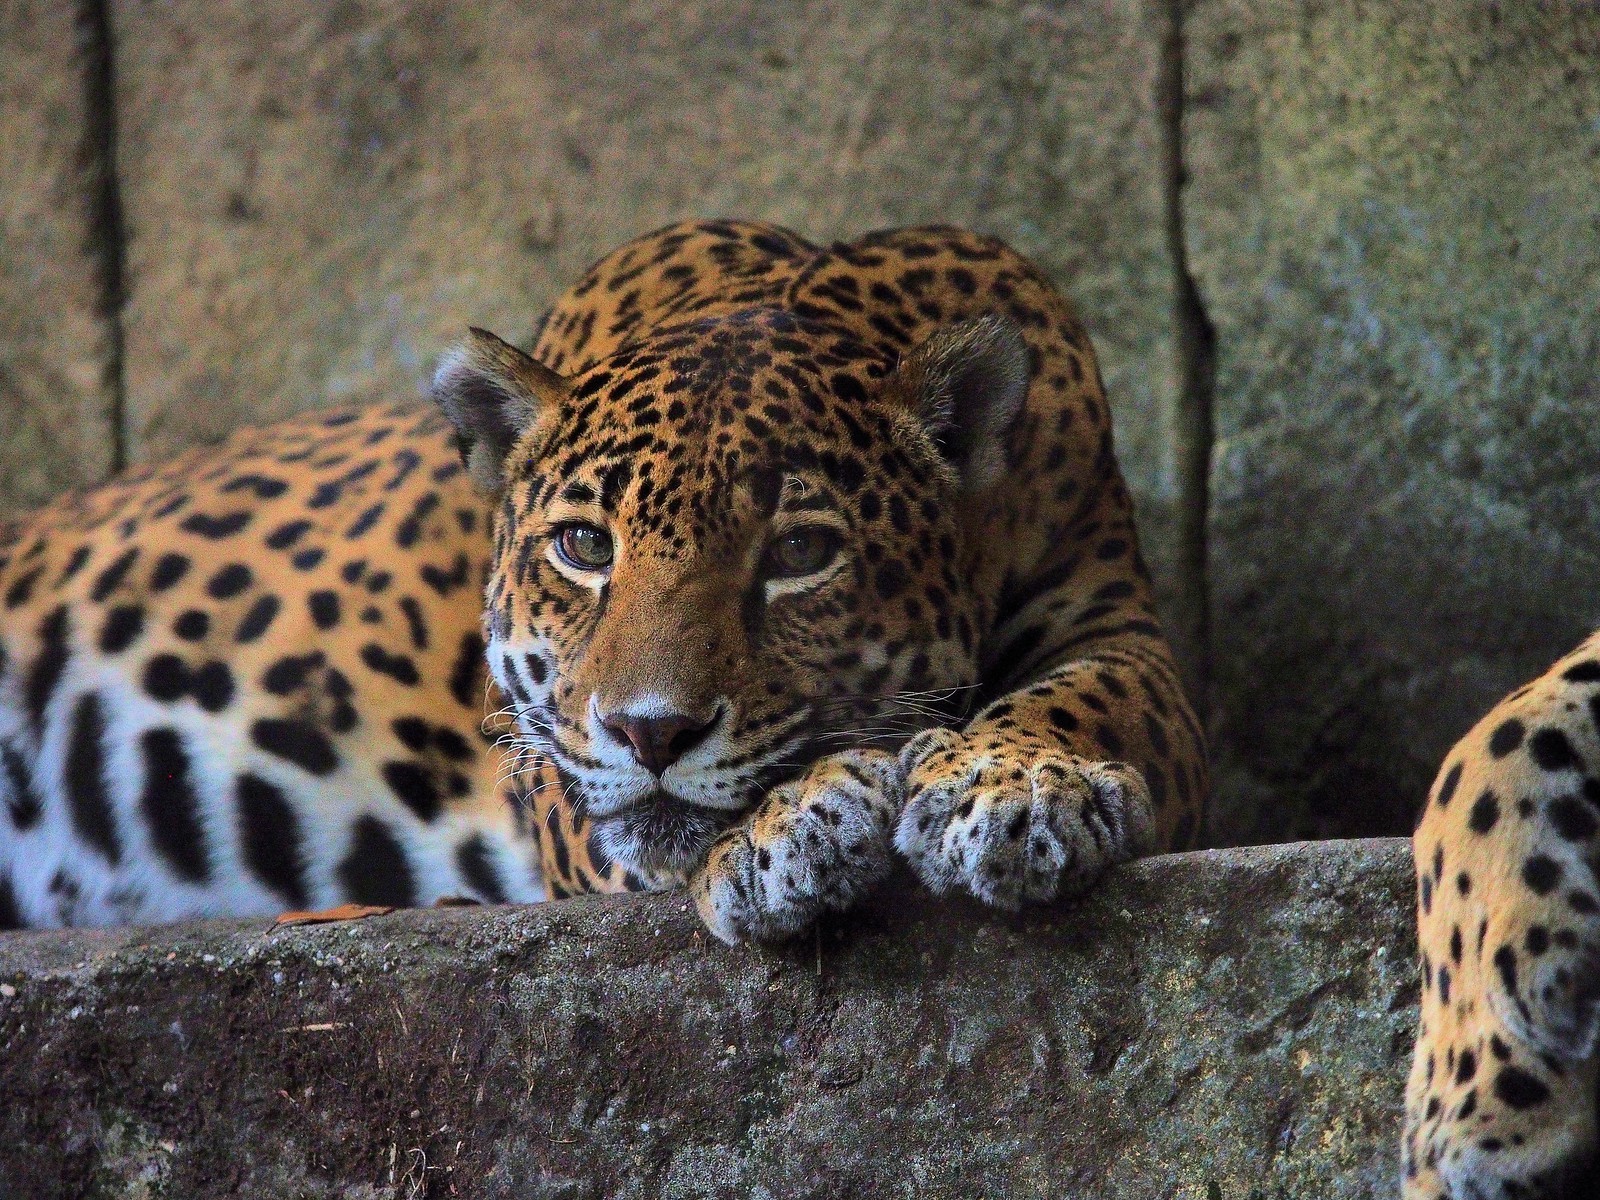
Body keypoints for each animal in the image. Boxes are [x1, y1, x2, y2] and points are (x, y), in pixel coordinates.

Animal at [0, 218, 1206, 944]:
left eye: (798, 556)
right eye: (583, 547)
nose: (651, 732)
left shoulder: (1116, 625)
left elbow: (1090, 696)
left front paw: (1015, 785)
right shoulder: (541, 751)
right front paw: (794, 826)